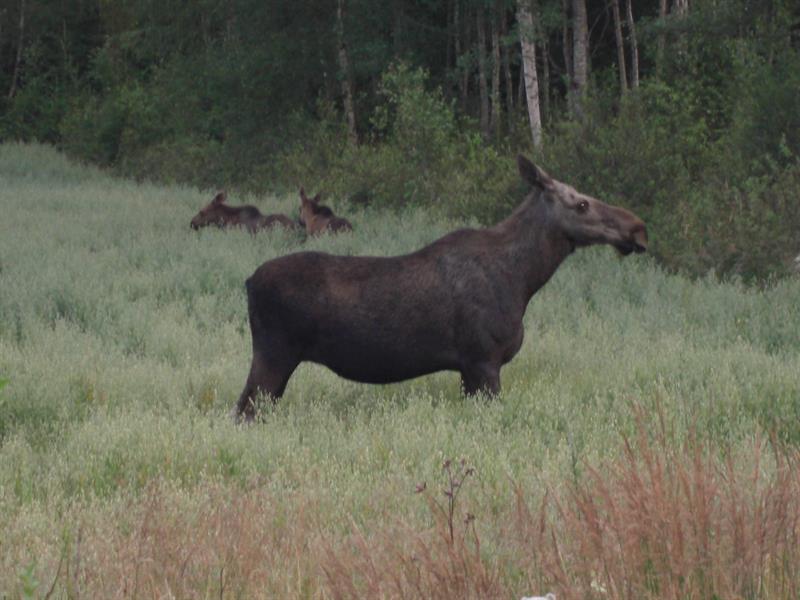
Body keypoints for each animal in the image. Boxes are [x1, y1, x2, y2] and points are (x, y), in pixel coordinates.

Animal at [234, 159, 648, 422]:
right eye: (581, 203)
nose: (637, 228)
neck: (524, 280)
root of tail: (249, 281)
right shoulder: (484, 360)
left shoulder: (469, 368)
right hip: (273, 354)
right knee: (243, 411)